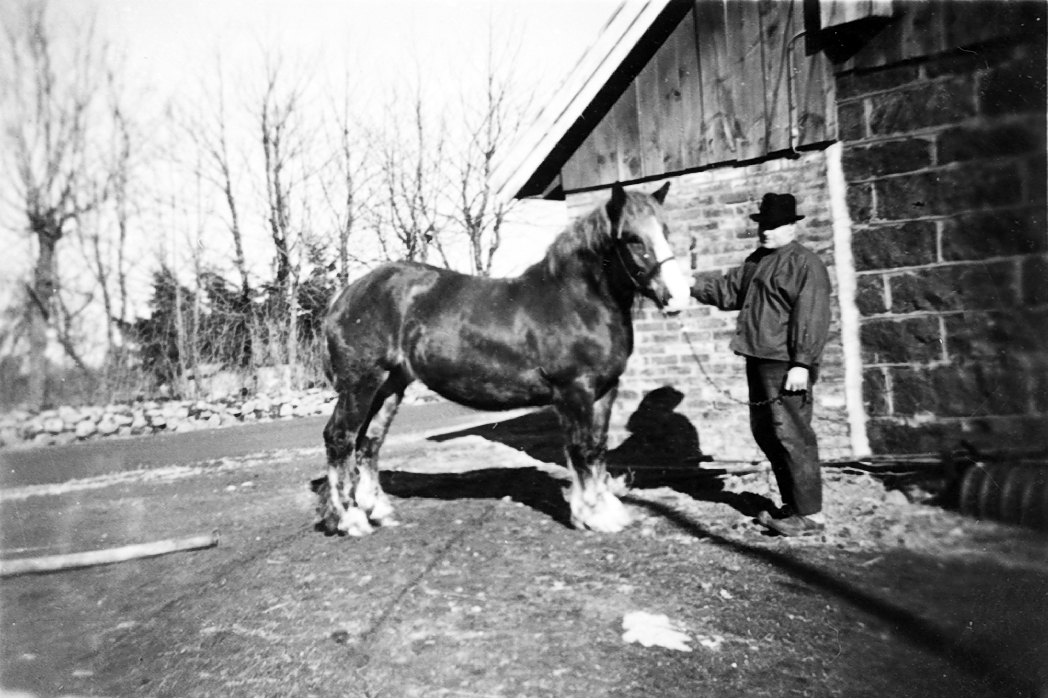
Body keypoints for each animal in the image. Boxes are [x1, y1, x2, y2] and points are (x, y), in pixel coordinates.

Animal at [317, 183, 690, 536]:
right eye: (632, 238)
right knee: (340, 438)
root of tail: (346, 296)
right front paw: (593, 515)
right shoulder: (574, 390)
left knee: (369, 443)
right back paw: (351, 520)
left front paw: (608, 510)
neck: (577, 303)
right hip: (361, 385)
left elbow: (598, 448)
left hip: (391, 386)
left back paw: (378, 511)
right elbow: (581, 450)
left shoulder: (605, 391)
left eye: (666, 230)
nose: (678, 297)